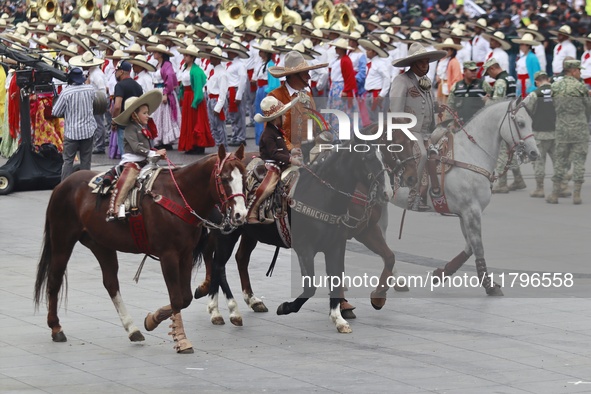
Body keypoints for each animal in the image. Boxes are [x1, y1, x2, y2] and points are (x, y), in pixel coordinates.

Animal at [34, 145, 247, 354]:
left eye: (244, 177)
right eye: (225, 178)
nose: (240, 214)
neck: (178, 196)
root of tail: (63, 183)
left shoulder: (185, 254)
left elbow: (185, 297)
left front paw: (154, 319)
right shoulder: (168, 255)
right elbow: (177, 299)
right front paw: (180, 339)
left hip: (101, 244)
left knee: (111, 283)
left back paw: (132, 329)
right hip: (62, 240)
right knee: (54, 280)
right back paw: (56, 327)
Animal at [388, 98, 540, 296]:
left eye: (531, 122)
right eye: (521, 123)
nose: (535, 153)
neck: (471, 155)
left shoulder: (464, 213)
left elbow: (469, 247)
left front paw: (442, 273)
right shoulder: (471, 211)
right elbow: (478, 247)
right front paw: (489, 285)